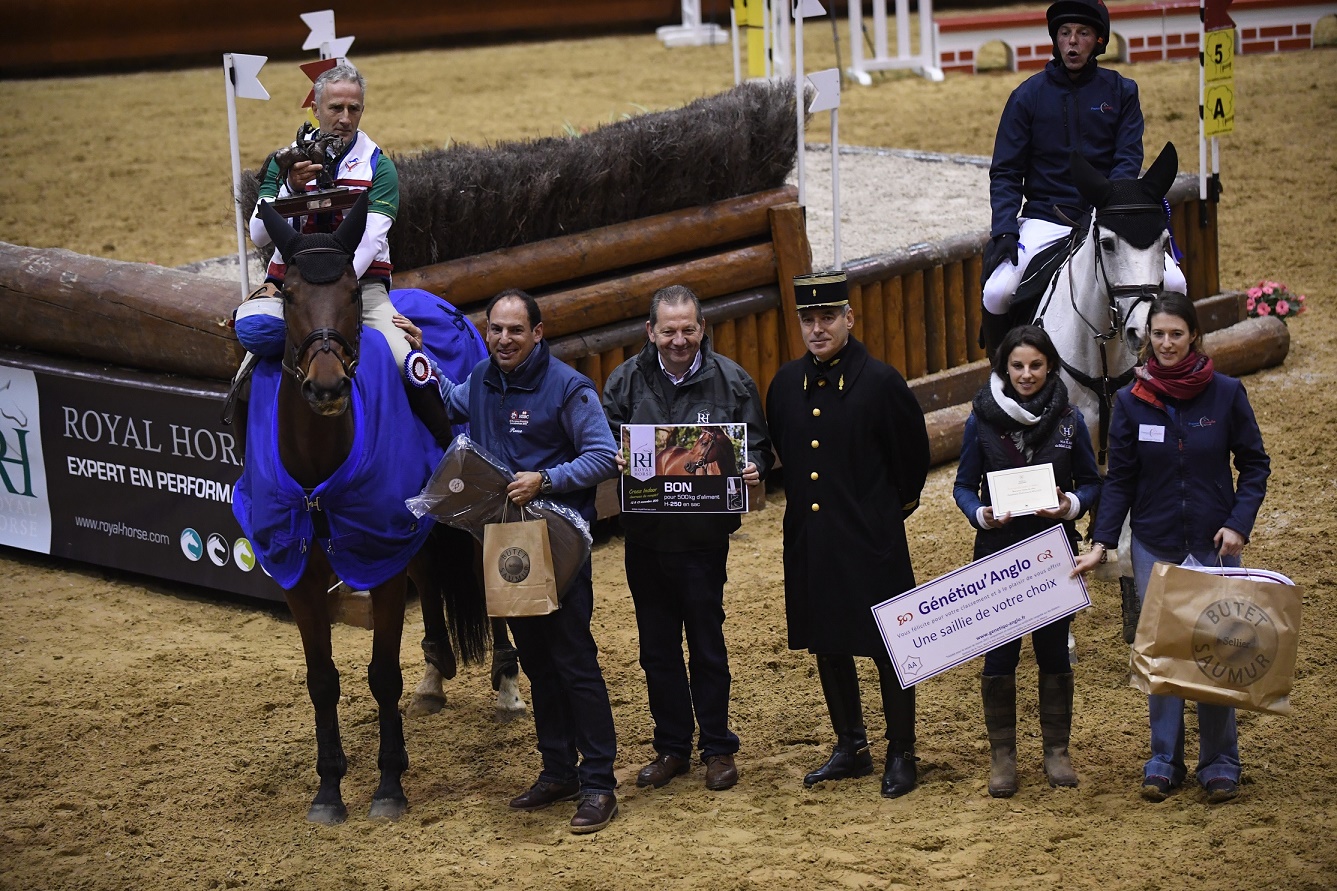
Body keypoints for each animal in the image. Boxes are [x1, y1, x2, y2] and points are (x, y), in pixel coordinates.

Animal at [240, 192, 492, 818]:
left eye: (353, 293)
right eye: (288, 294)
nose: (327, 386)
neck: (316, 476)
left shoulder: (378, 566)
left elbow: (381, 674)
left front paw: (389, 785)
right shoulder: (301, 574)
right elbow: (322, 679)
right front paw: (329, 789)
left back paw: (506, 688)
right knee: (428, 572)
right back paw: (435, 673)